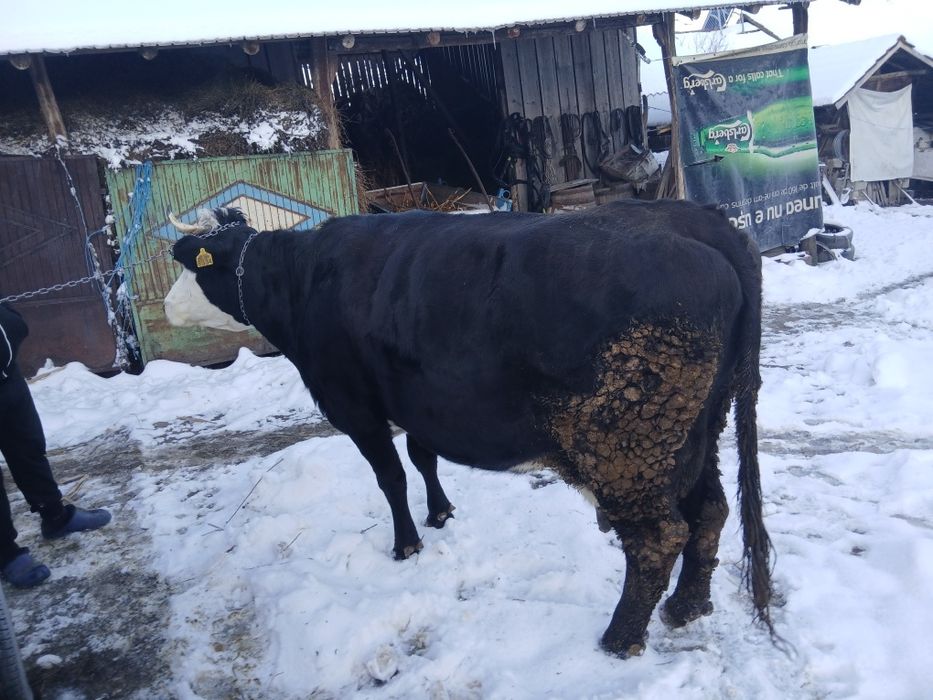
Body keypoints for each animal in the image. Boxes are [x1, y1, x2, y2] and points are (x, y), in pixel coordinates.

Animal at [163, 200, 773, 658]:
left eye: (190, 264)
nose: (165, 308)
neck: (304, 280)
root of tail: (695, 219)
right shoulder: (423, 401)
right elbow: (423, 457)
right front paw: (441, 514)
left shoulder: (354, 407)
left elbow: (391, 478)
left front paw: (406, 544)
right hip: (695, 434)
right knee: (709, 511)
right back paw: (685, 607)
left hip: (628, 443)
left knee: (657, 537)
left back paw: (619, 638)